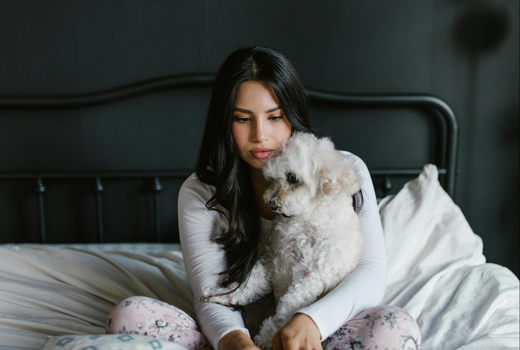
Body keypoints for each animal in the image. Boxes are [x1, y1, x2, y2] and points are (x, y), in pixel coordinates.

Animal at [201, 132, 364, 350]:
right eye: (271, 179)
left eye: (292, 178)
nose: (270, 203)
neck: (305, 217)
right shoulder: (273, 261)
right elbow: (250, 281)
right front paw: (223, 294)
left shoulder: (313, 275)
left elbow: (287, 309)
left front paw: (267, 337)